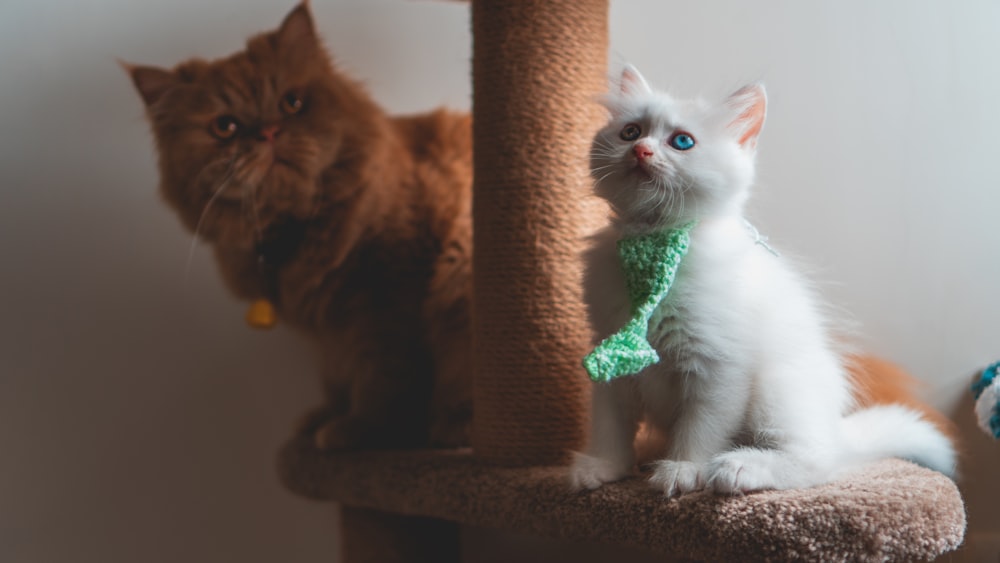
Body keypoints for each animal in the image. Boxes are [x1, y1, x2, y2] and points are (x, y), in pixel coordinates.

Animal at [124, 0, 472, 450]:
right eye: (226, 127)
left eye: (292, 103)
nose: (270, 133)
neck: (293, 229)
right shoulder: (330, 336)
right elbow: (337, 382)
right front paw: (321, 422)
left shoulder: (386, 300)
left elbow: (382, 378)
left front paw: (358, 430)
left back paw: (452, 430)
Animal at [572, 66, 952, 496]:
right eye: (631, 132)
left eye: (682, 142)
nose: (641, 151)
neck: (652, 239)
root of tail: (837, 431)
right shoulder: (610, 353)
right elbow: (611, 426)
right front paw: (604, 468)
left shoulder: (717, 365)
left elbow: (700, 429)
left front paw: (683, 471)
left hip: (778, 388)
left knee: (817, 463)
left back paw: (739, 467)